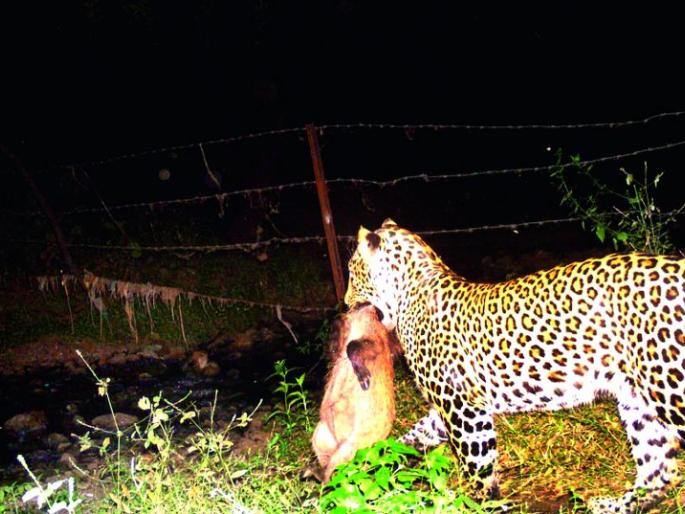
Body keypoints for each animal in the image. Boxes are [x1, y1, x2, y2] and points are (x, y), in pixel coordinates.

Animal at [344, 218, 685, 513]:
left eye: (351, 272)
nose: (345, 302)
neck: (408, 295)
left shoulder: (464, 411)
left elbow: (477, 469)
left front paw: (486, 505)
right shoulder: (452, 406)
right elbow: (415, 436)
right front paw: (375, 460)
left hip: (669, 386)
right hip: (636, 399)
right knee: (658, 469)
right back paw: (613, 506)